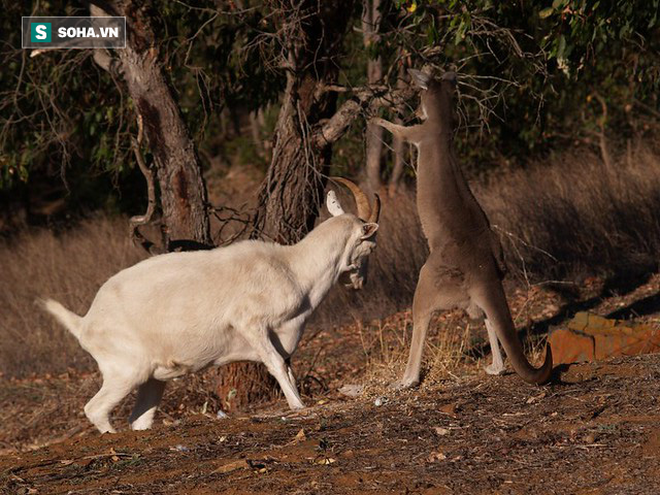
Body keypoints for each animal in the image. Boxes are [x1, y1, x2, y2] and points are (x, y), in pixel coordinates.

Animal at [41, 179, 378, 434]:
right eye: (370, 245)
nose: (360, 282)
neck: (292, 267)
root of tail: (84, 323)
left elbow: (288, 367)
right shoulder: (250, 322)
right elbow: (277, 365)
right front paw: (298, 405)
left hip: (152, 379)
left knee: (138, 419)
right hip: (125, 371)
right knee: (95, 409)